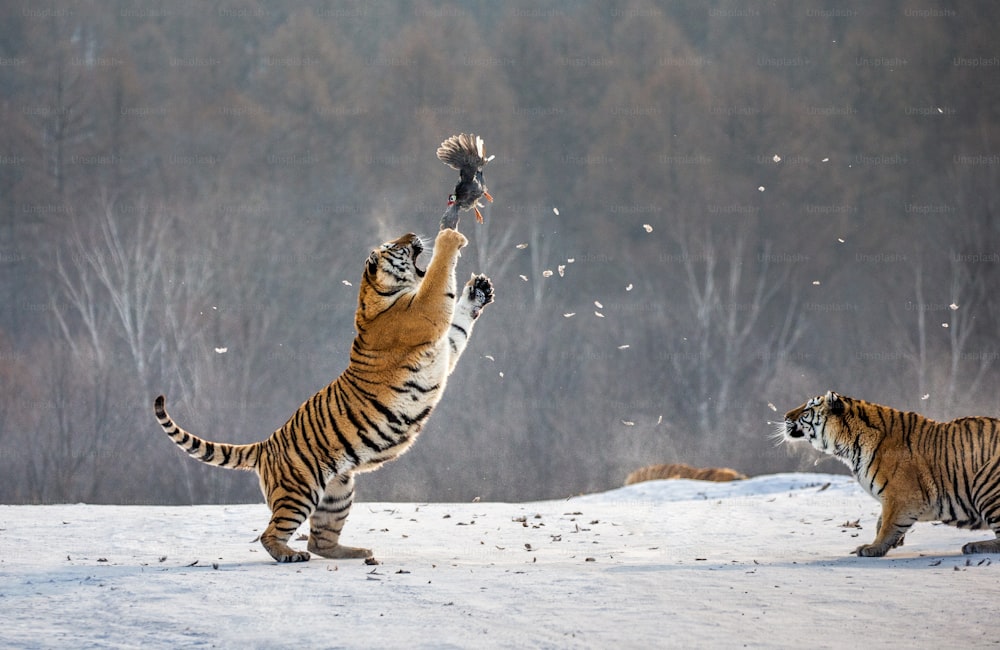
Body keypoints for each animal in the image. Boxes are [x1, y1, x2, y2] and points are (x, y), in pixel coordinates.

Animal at [154, 228, 494, 560]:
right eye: (392, 245)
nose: (411, 236)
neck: (380, 293)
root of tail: (265, 445)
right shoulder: (425, 312)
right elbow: (439, 277)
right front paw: (449, 237)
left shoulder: (444, 348)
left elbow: (459, 326)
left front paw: (478, 290)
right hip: (298, 493)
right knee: (271, 534)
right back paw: (289, 554)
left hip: (337, 493)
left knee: (320, 542)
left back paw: (354, 551)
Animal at [780, 390, 1000, 556]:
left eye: (807, 409)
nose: (785, 416)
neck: (849, 445)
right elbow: (881, 520)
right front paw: (891, 542)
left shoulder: (902, 496)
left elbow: (888, 523)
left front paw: (873, 548)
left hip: (985, 484)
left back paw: (974, 546)